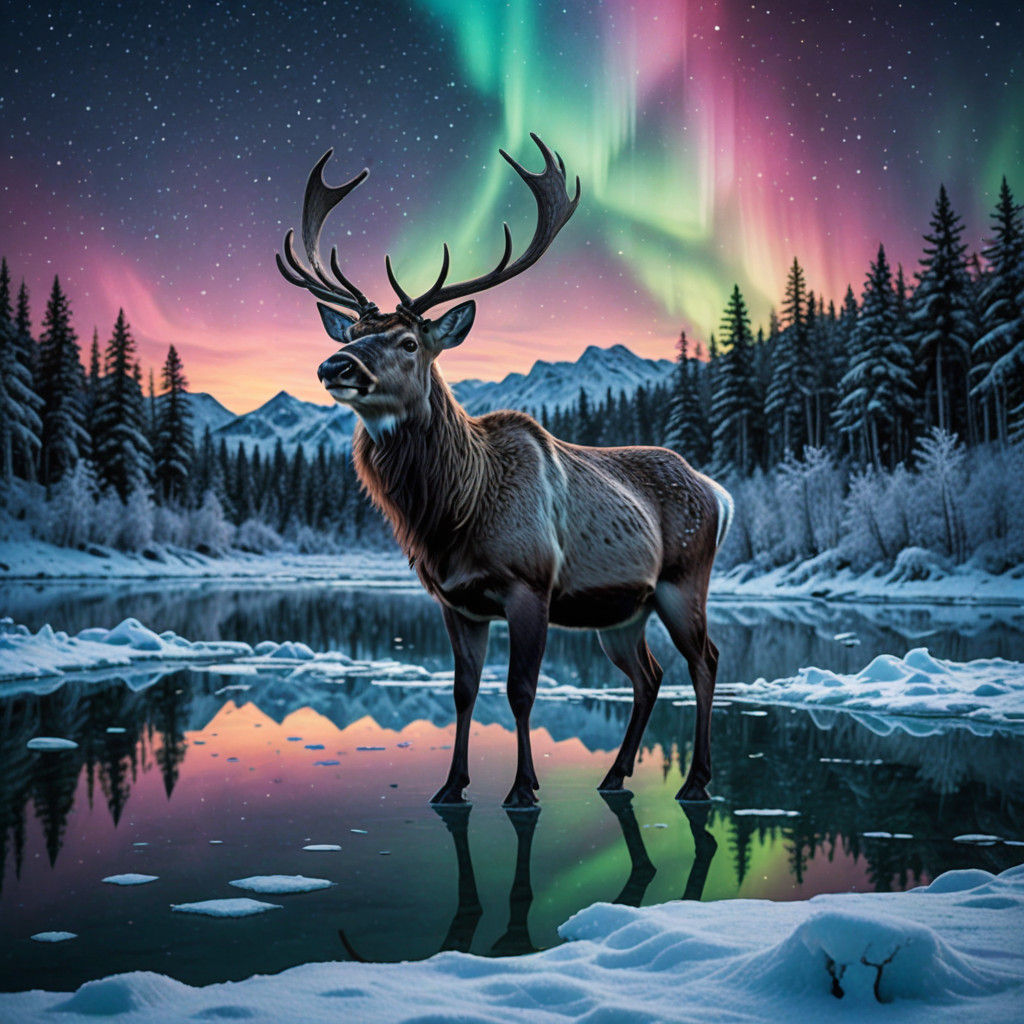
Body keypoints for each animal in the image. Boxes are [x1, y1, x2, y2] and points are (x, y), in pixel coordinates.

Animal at [277, 134, 733, 809]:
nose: (335, 366)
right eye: (353, 331)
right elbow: (463, 691)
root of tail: (719, 493)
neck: (454, 513)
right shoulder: (455, 599)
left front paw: (523, 788)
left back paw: (696, 781)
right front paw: (451, 786)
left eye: (409, 342)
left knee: (705, 659)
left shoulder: (530, 583)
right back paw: (615, 775)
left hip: (684, 580)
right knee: (649, 675)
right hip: (623, 609)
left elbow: (521, 692)